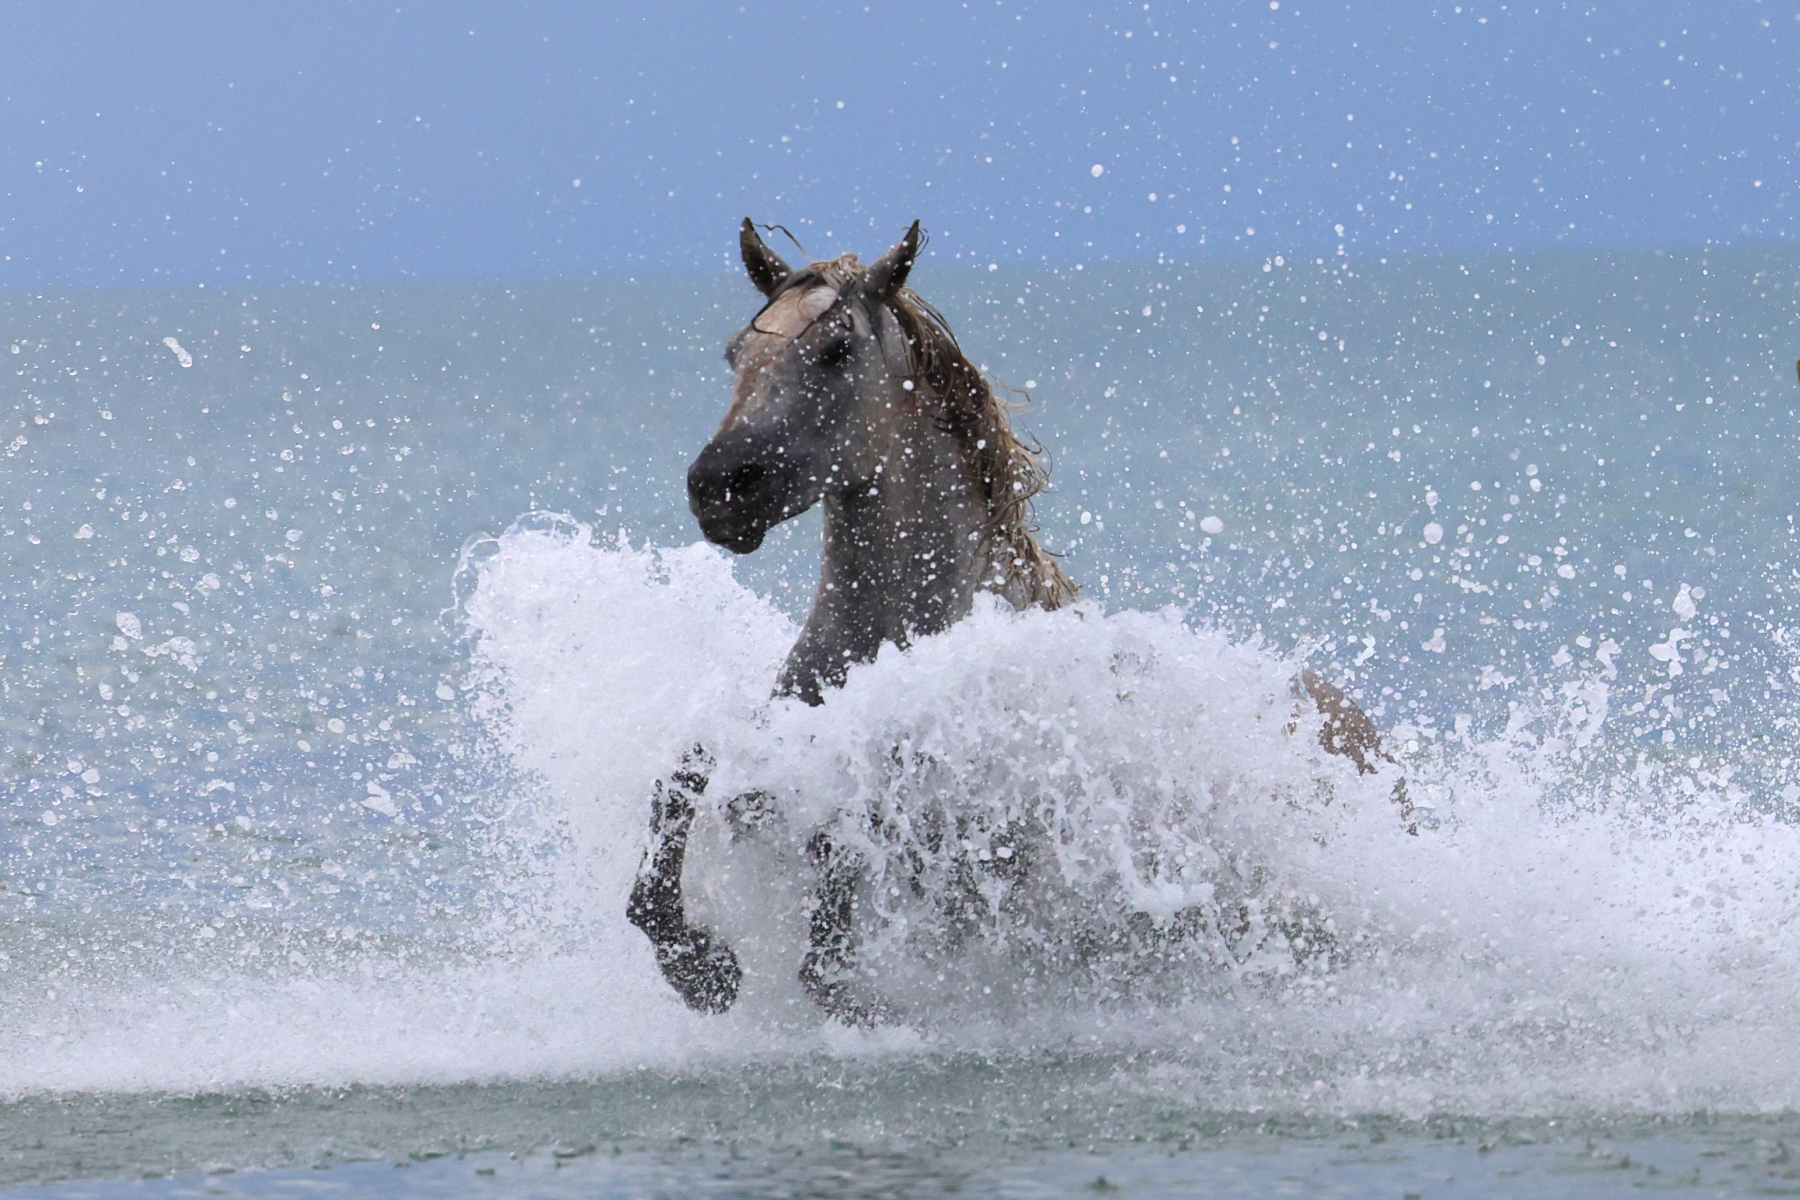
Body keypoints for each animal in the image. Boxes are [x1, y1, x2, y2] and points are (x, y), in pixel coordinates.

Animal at [626, 219, 1403, 1022]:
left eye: (835, 348)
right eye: (735, 353)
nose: (719, 486)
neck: (902, 645)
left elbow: (836, 909)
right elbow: (685, 779)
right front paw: (700, 963)